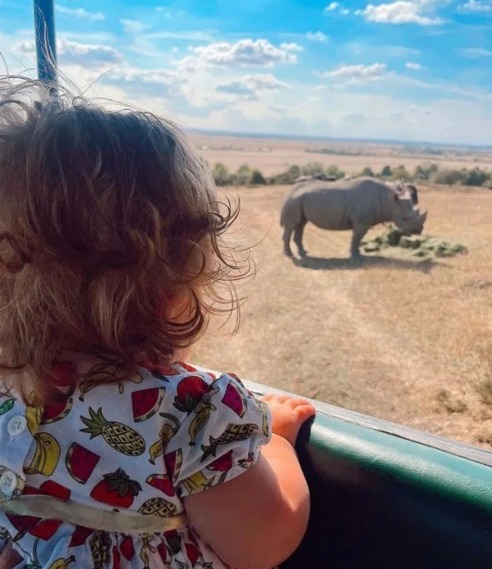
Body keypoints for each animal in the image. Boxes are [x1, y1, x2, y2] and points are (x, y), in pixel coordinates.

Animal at [280, 176, 426, 258]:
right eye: (405, 219)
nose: (418, 231)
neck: (390, 201)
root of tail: (289, 192)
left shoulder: (362, 221)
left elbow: (358, 238)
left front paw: (356, 254)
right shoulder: (362, 221)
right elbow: (357, 238)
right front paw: (356, 256)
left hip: (298, 201)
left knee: (301, 224)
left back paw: (303, 252)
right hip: (294, 201)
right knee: (292, 225)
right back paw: (289, 254)